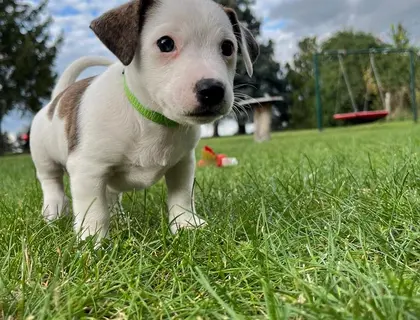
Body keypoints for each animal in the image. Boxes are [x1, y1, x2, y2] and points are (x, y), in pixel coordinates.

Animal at [29, 0, 258, 242]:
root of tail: (57, 98)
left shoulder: (183, 164)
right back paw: (53, 214)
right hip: (45, 160)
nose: (212, 90)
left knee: (111, 195)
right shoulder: (87, 170)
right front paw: (93, 241)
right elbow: (94, 210)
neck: (150, 118)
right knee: (52, 184)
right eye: (165, 43)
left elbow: (181, 197)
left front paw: (186, 224)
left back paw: (120, 218)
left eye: (228, 48)